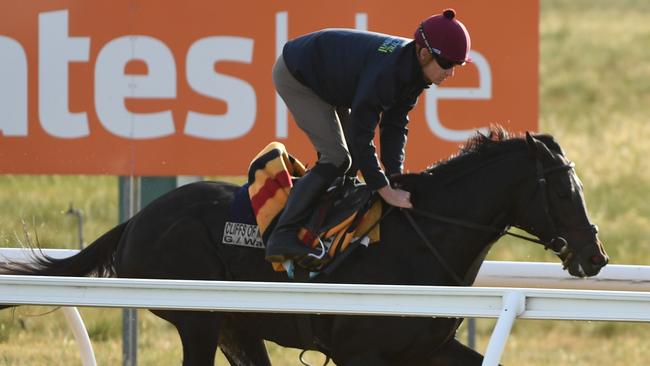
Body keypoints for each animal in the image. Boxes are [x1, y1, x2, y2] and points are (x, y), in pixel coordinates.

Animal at [0, 129, 608, 366]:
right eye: (562, 190)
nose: (594, 256)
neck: (421, 239)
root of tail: (137, 221)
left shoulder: (426, 348)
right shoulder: (360, 352)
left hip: (237, 327)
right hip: (198, 320)